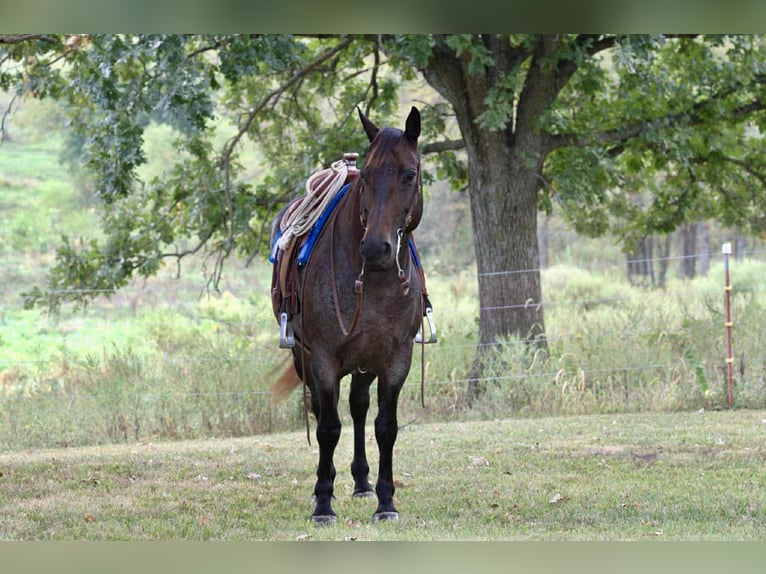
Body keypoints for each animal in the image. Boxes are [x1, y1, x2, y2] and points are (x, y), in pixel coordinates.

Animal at [270, 106, 427, 524]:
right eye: (368, 176)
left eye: (409, 174)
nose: (375, 248)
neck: (375, 281)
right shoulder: (323, 358)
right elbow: (327, 428)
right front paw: (323, 503)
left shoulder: (395, 359)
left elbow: (385, 427)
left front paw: (386, 502)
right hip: (305, 357)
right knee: (324, 410)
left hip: (364, 362)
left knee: (358, 408)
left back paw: (361, 482)